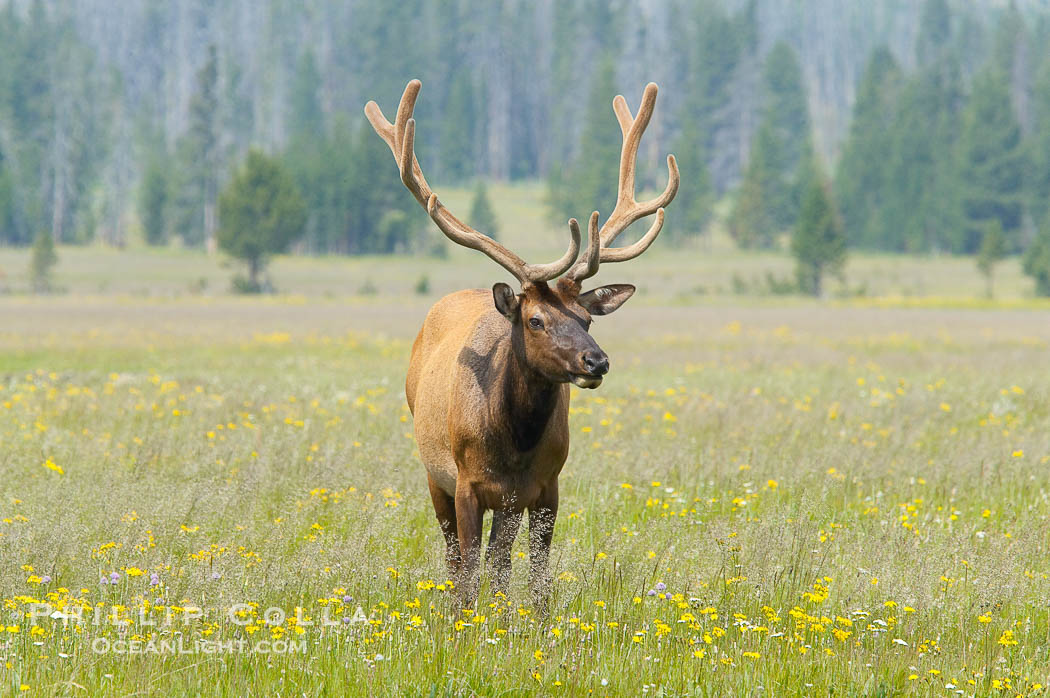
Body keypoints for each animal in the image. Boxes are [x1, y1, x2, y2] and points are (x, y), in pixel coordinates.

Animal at [364, 79, 678, 607]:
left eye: (586, 318)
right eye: (535, 320)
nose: (596, 361)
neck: (512, 443)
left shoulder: (545, 486)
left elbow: (533, 576)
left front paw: (528, 615)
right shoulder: (466, 482)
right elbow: (468, 571)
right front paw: (466, 620)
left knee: (499, 561)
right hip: (432, 472)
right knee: (454, 556)